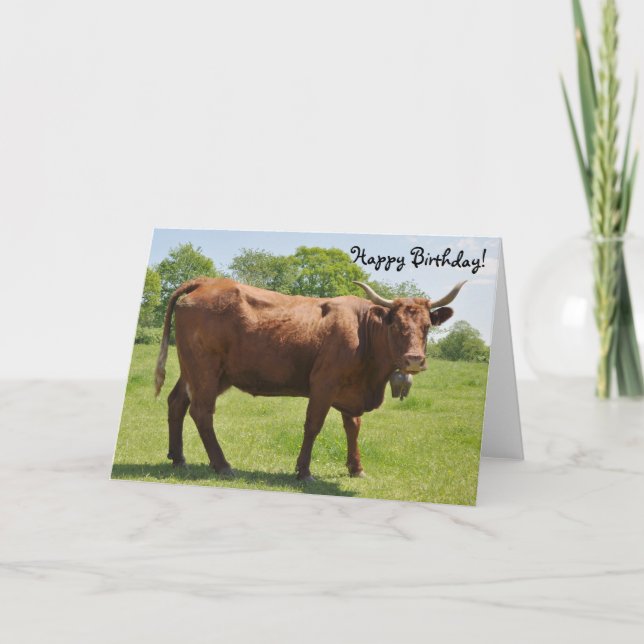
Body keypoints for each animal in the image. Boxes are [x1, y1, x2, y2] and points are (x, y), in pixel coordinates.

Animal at [154, 278, 465, 481]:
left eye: (427, 326)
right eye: (397, 325)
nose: (414, 360)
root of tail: (207, 281)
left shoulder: (350, 389)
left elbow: (353, 427)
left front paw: (356, 468)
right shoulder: (324, 384)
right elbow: (313, 426)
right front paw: (304, 471)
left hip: (199, 371)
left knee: (177, 402)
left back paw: (178, 458)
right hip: (205, 368)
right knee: (202, 412)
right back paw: (222, 465)